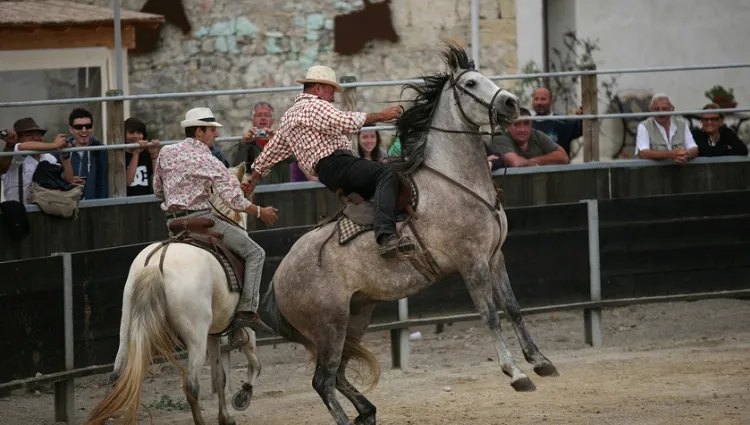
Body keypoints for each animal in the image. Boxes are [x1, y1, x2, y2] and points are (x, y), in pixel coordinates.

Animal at [87, 161, 262, 424]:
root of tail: (156, 263)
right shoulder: (243, 325)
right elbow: (253, 361)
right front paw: (243, 396)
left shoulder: (214, 333)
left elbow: (220, 377)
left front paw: (225, 416)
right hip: (195, 337)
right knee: (191, 386)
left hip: (127, 327)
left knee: (117, 377)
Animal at [262, 44, 560, 424]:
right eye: (471, 83)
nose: (511, 104)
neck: (455, 181)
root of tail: (277, 280)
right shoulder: (472, 262)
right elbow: (490, 315)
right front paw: (516, 373)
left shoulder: (495, 256)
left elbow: (513, 308)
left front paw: (540, 361)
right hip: (329, 326)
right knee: (323, 381)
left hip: (354, 317)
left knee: (338, 374)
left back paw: (367, 410)